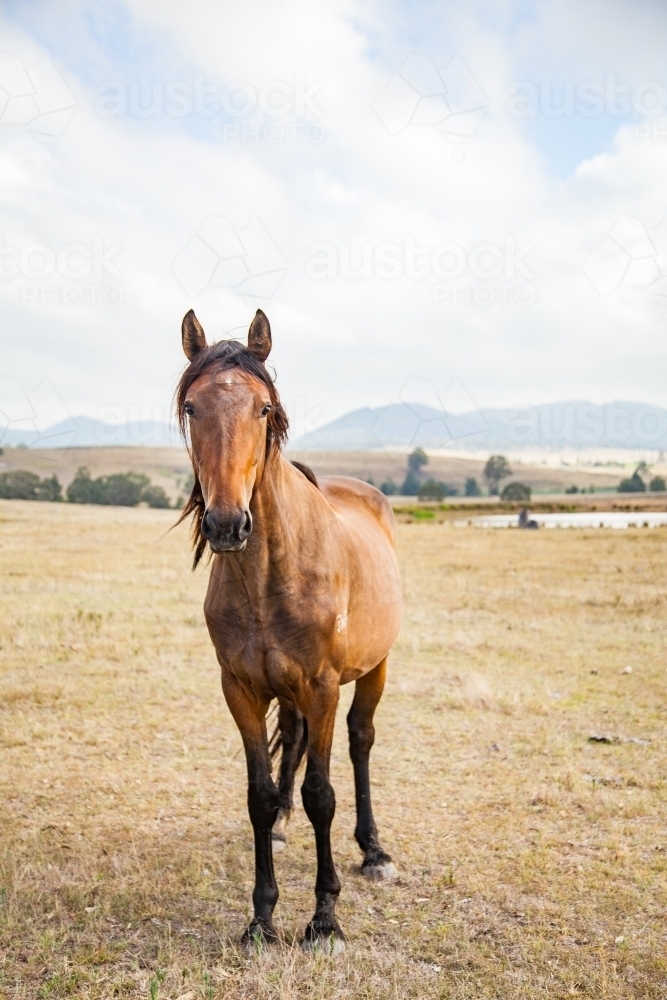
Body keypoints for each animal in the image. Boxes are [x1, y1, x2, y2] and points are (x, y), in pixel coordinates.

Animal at [176, 308, 403, 951]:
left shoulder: (322, 686)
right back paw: (282, 826)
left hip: (373, 670)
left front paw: (324, 919)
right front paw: (262, 918)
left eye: (263, 409)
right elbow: (258, 794)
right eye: (192, 407)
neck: (269, 573)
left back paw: (374, 850)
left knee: (359, 740)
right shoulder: (241, 689)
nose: (227, 524)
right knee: (295, 748)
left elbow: (321, 795)